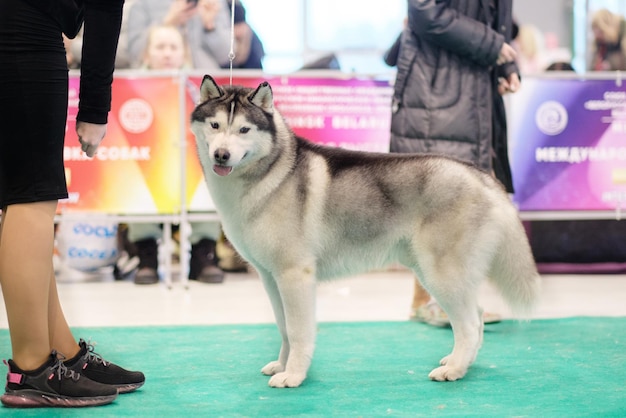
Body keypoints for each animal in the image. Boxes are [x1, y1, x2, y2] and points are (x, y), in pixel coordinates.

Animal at [190, 75, 540, 388]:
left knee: (468, 322)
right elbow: (284, 327)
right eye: (215, 126)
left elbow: (299, 331)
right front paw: (282, 364)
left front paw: (294, 375)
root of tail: (481, 175)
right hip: (433, 272)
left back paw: (454, 370)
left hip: (442, 273)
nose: (221, 155)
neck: (273, 173)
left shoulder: (294, 275)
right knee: (476, 316)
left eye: (244, 129)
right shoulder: (270, 277)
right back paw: (461, 361)